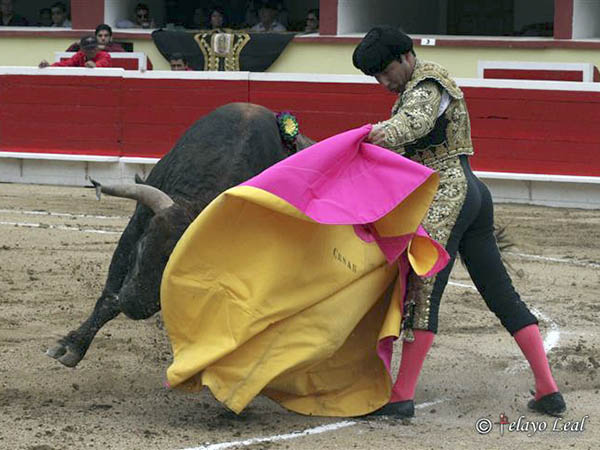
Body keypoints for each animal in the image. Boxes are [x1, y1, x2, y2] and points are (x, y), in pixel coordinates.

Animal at [48, 103, 314, 368]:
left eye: (184, 269)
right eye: (142, 247)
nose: (134, 304)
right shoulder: (136, 227)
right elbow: (109, 296)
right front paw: (71, 346)